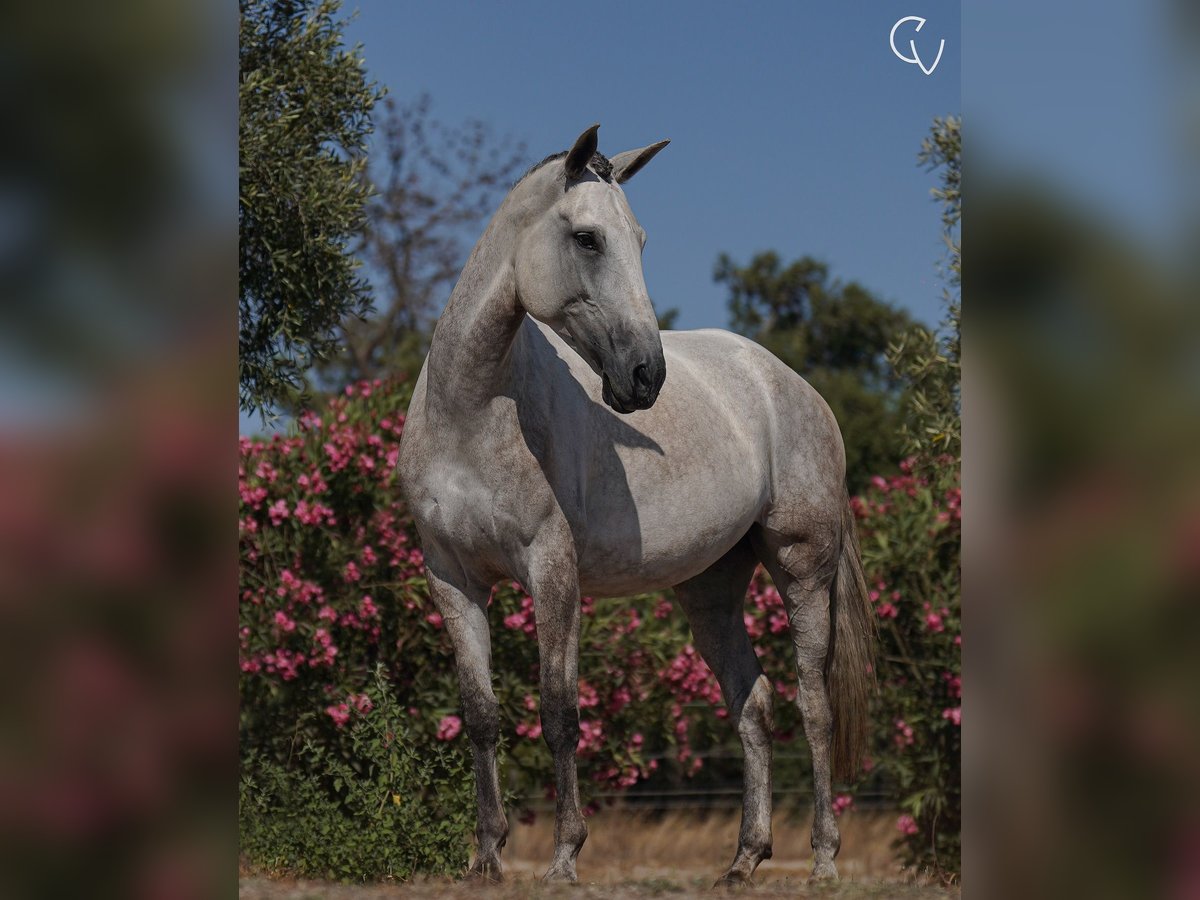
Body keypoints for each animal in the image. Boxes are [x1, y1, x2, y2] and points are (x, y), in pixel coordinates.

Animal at [398, 127, 878, 888]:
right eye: (588, 238)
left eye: (642, 240)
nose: (646, 377)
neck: (469, 413)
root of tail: (793, 387)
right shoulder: (451, 576)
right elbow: (481, 713)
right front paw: (487, 857)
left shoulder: (552, 570)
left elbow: (559, 711)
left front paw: (564, 857)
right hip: (709, 589)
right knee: (754, 704)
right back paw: (743, 859)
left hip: (803, 567)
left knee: (813, 703)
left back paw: (823, 861)